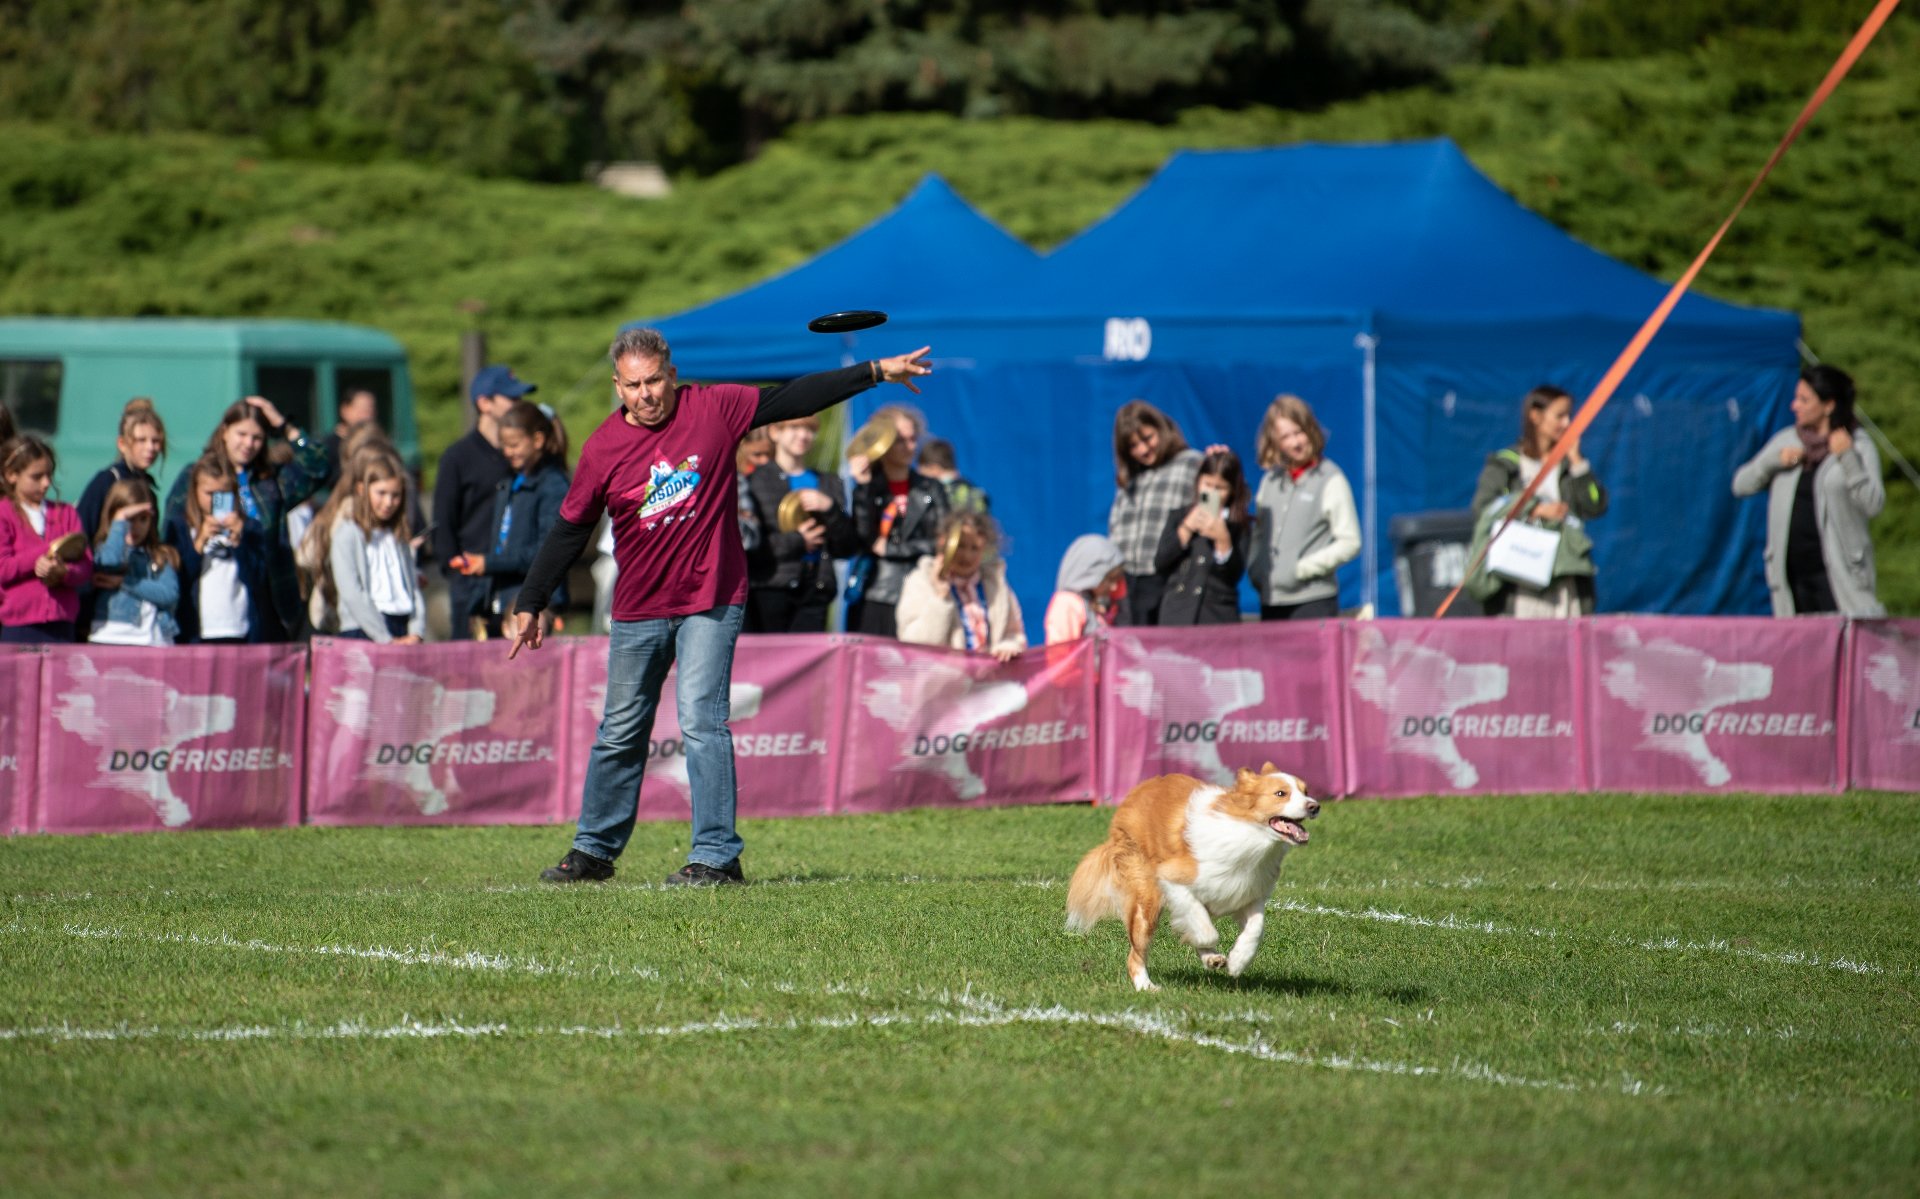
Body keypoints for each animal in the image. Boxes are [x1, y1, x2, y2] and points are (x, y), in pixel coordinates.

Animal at [1067, 768, 1320, 991]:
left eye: (1306, 790)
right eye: (1281, 793)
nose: (1315, 806)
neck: (1247, 834)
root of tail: (1135, 794)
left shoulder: (1247, 891)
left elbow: (1255, 928)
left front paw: (1238, 961)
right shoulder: (1173, 878)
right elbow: (1203, 927)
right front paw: (1210, 946)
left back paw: (1211, 959)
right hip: (1146, 898)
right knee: (1137, 952)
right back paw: (1146, 986)